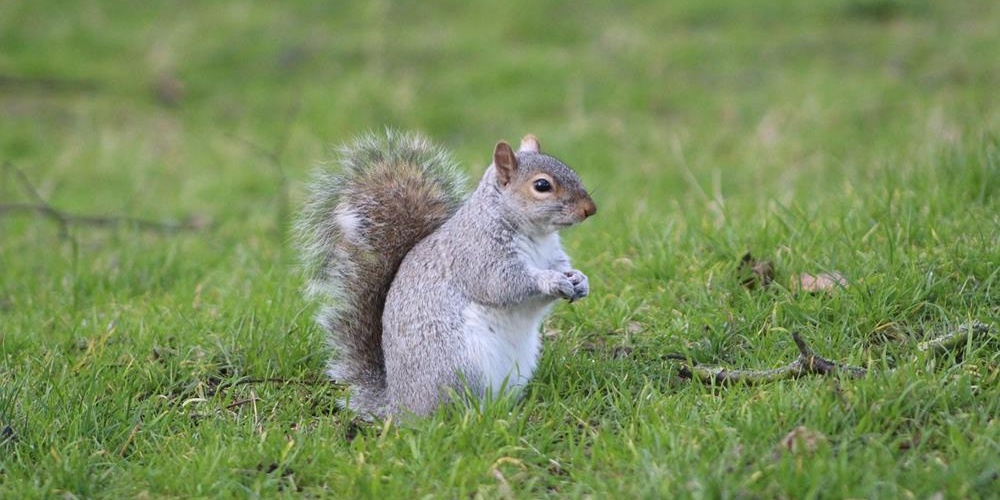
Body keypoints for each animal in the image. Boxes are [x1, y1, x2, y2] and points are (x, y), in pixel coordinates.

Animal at [294, 130, 592, 418]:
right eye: (542, 186)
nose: (590, 209)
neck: (536, 235)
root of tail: (400, 407)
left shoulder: (552, 256)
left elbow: (559, 271)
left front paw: (580, 280)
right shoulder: (478, 254)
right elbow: (503, 284)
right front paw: (549, 280)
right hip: (458, 365)